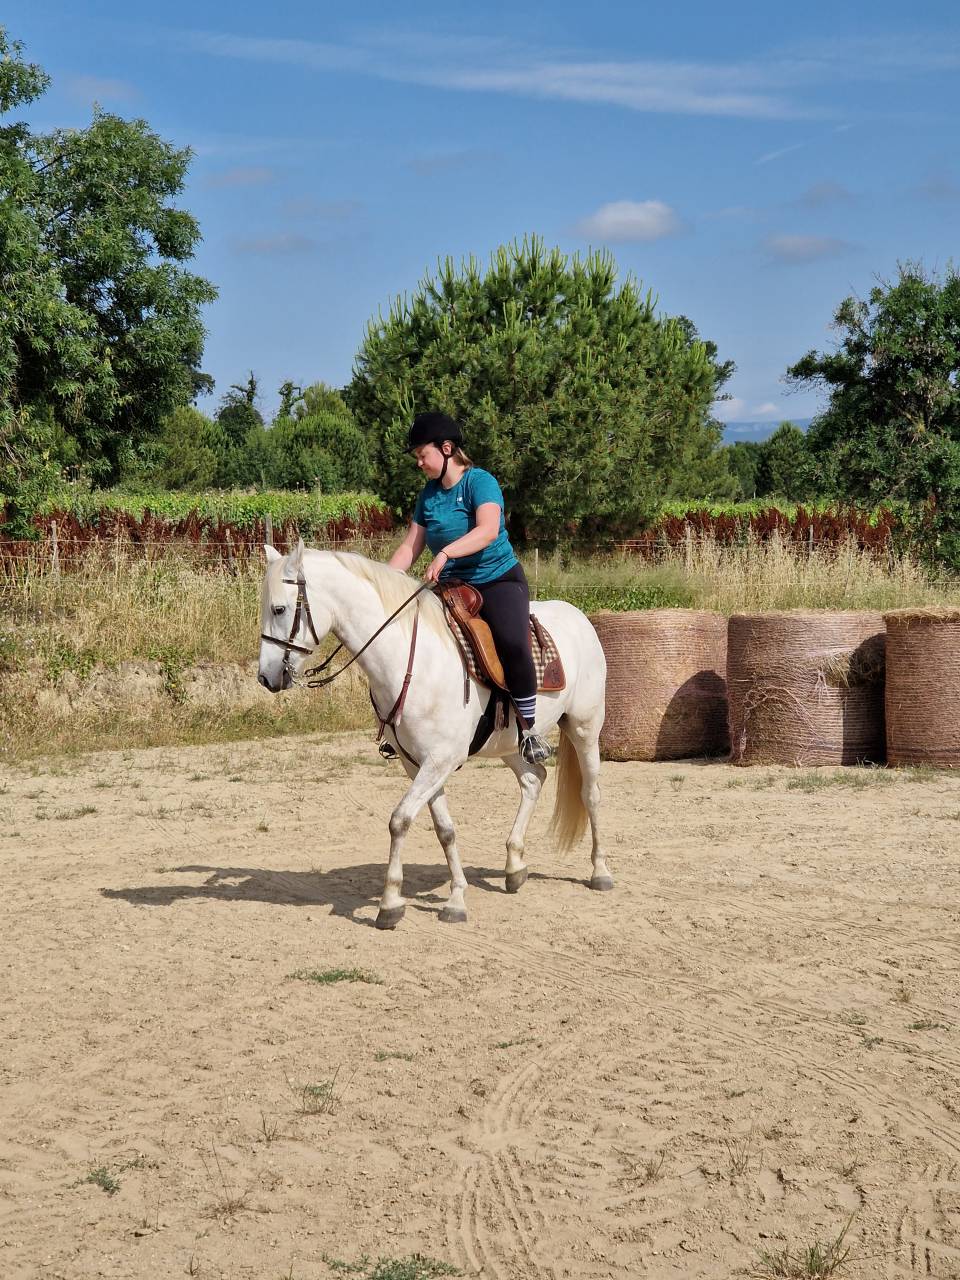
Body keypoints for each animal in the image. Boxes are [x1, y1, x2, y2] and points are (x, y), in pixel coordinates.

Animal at [257, 539, 611, 928]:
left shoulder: (440, 760)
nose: (265, 677)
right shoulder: (418, 763)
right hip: (508, 744)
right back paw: (515, 866)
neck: (409, 660)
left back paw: (600, 871)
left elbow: (399, 820)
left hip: (584, 728)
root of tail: (580, 617)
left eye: (279, 608)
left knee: (591, 794)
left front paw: (389, 903)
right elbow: (444, 828)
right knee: (534, 779)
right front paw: (455, 899)